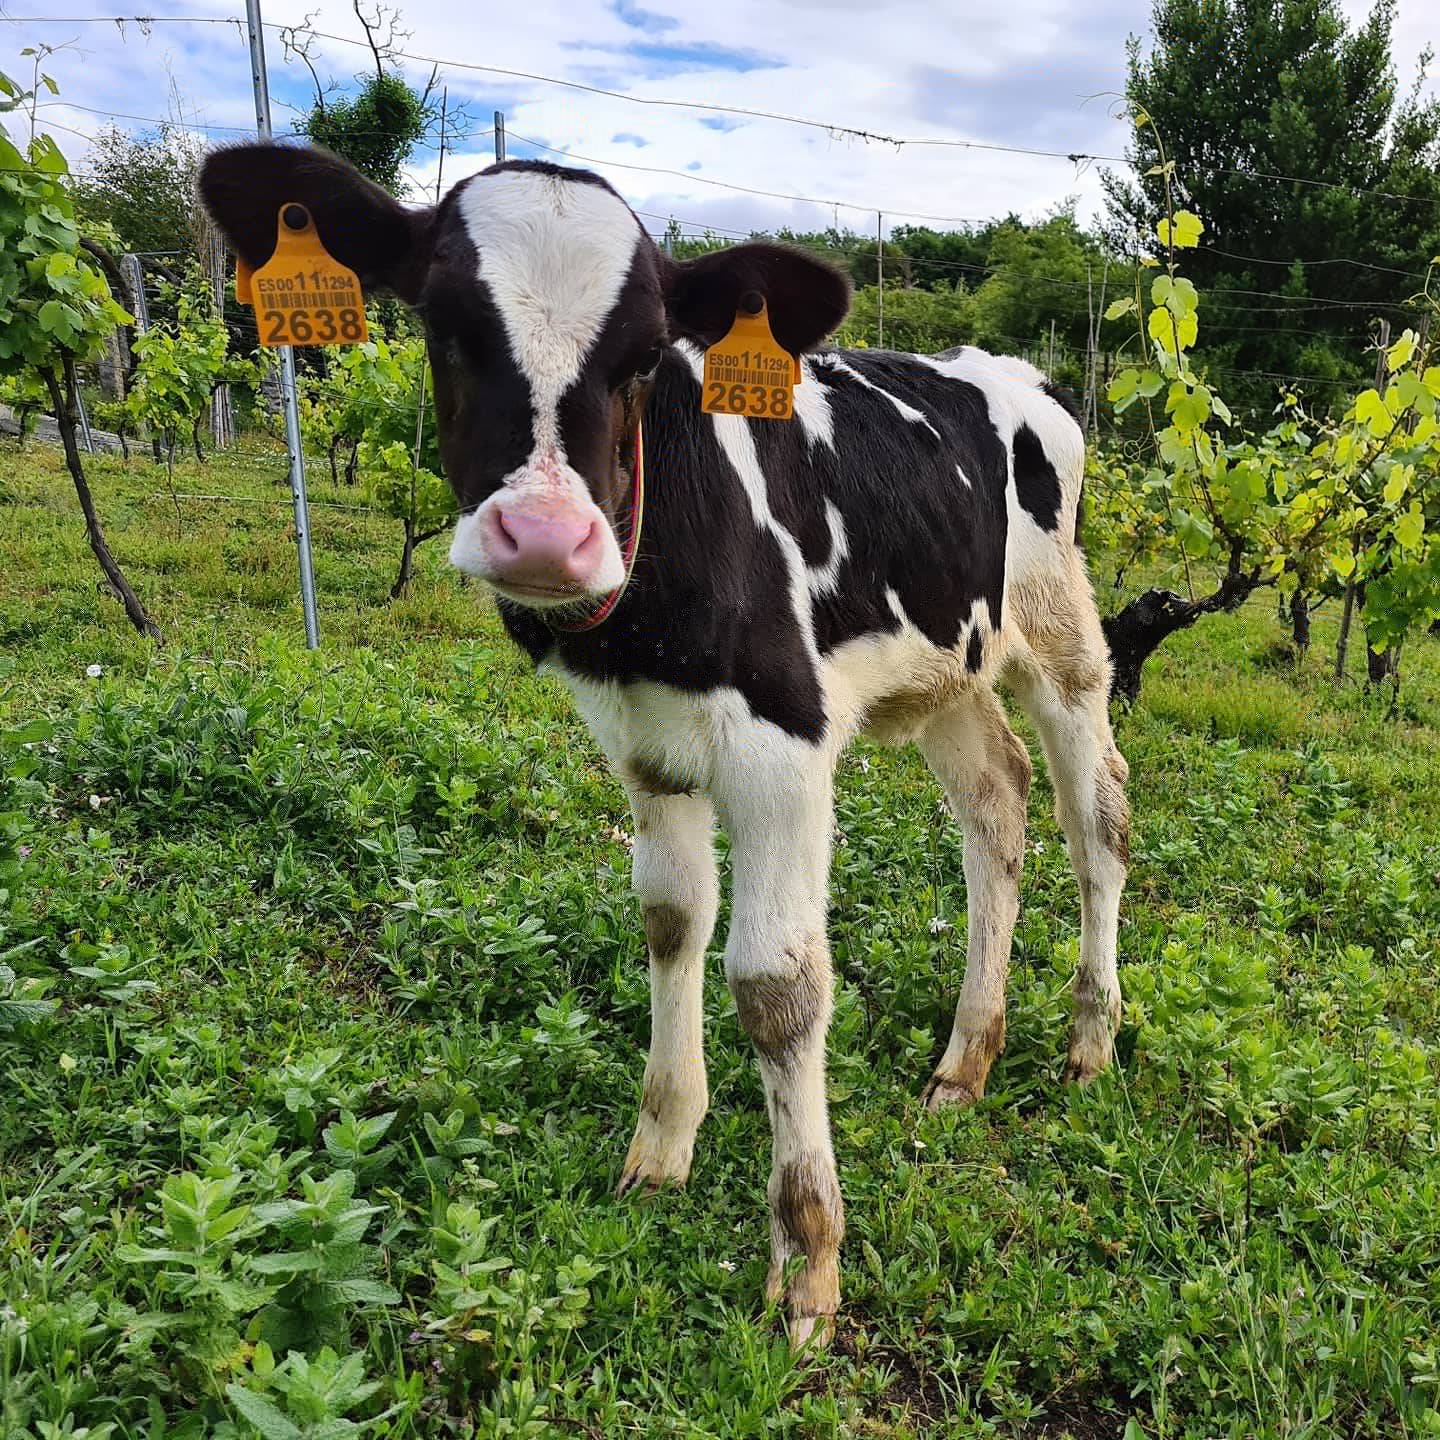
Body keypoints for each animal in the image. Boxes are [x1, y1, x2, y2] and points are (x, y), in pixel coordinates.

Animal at [203, 140, 1128, 1342]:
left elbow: (776, 986)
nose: (545, 536)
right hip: (950, 660)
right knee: (997, 805)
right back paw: (966, 1060)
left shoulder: (786, 745)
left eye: (645, 354)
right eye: (444, 322)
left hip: (1062, 635)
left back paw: (1090, 1037)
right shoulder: (641, 742)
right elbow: (671, 923)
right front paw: (661, 1146)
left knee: (1096, 817)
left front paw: (807, 1263)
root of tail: (1017, 374)